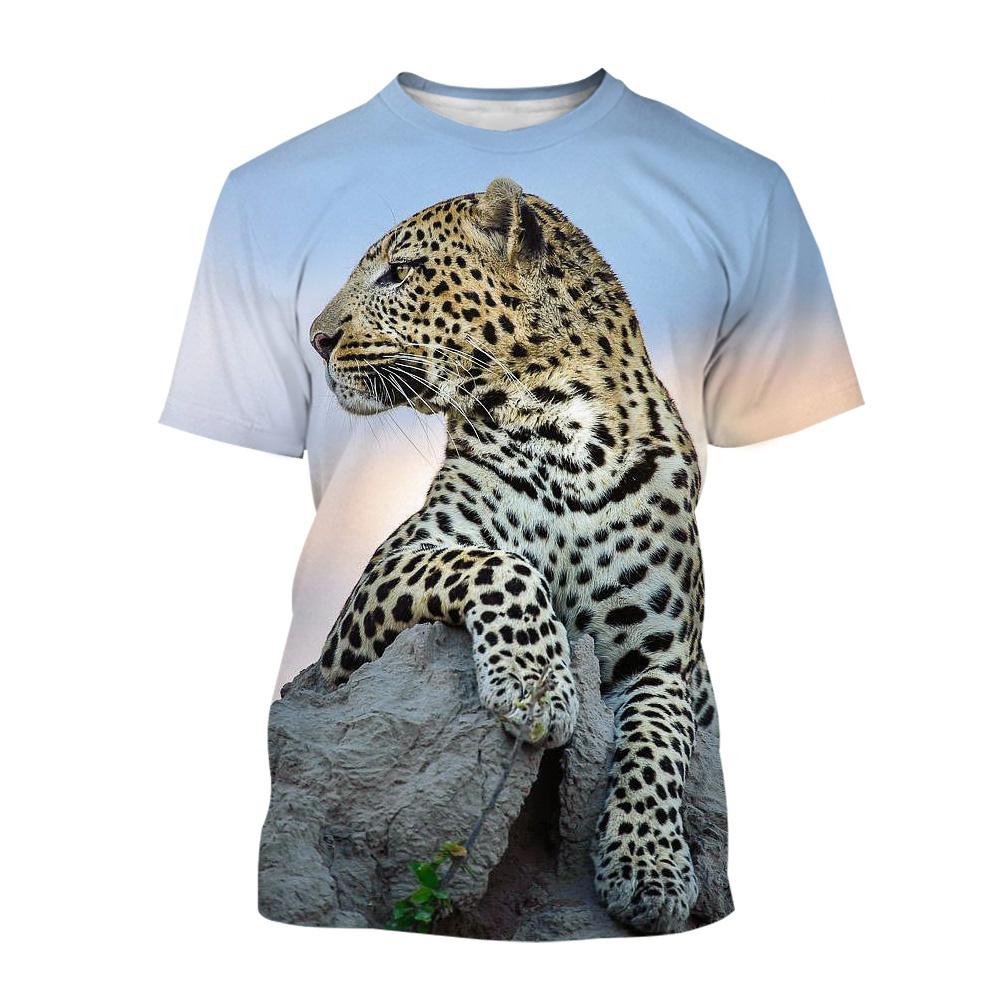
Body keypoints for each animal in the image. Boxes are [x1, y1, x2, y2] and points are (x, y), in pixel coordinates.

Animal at [308, 177, 718, 934]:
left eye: (399, 272)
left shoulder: (664, 660)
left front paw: (649, 870)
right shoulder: (370, 602)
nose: (318, 341)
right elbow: (501, 565)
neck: (566, 436)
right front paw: (536, 688)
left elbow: (658, 743)